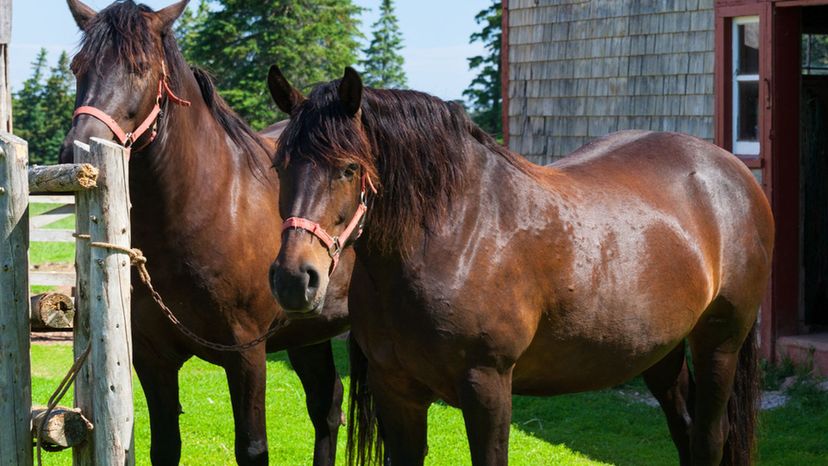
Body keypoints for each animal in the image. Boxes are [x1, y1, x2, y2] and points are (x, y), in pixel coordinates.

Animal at [58, 1, 354, 464]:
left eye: (140, 67)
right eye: (77, 67)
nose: (75, 150)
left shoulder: (247, 353)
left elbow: (252, 447)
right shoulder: (153, 357)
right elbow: (165, 446)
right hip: (307, 331)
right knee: (326, 406)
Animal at [266, 66, 776, 466]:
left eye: (349, 168)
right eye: (278, 165)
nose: (294, 279)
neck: (455, 234)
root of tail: (732, 172)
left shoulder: (487, 386)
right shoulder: (397, 391)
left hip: (719, 344)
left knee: (708, 439)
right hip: (660, 350)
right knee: (684, 431)